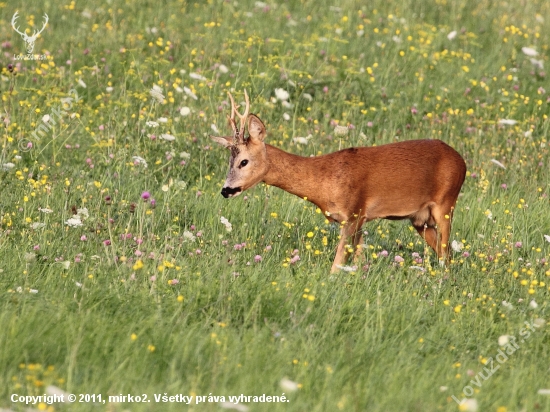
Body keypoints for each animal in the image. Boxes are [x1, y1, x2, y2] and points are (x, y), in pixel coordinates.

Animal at [213, 91, 468, 272]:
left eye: (244, 161)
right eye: (229, 160)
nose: (226, 190)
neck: (325, 181)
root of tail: (461, 160)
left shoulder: (354, 212)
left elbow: (337, 265)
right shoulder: (358, 219)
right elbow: (356, 263)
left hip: (446, 203)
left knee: (446, 254)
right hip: (420, 220)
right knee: (445, 253)